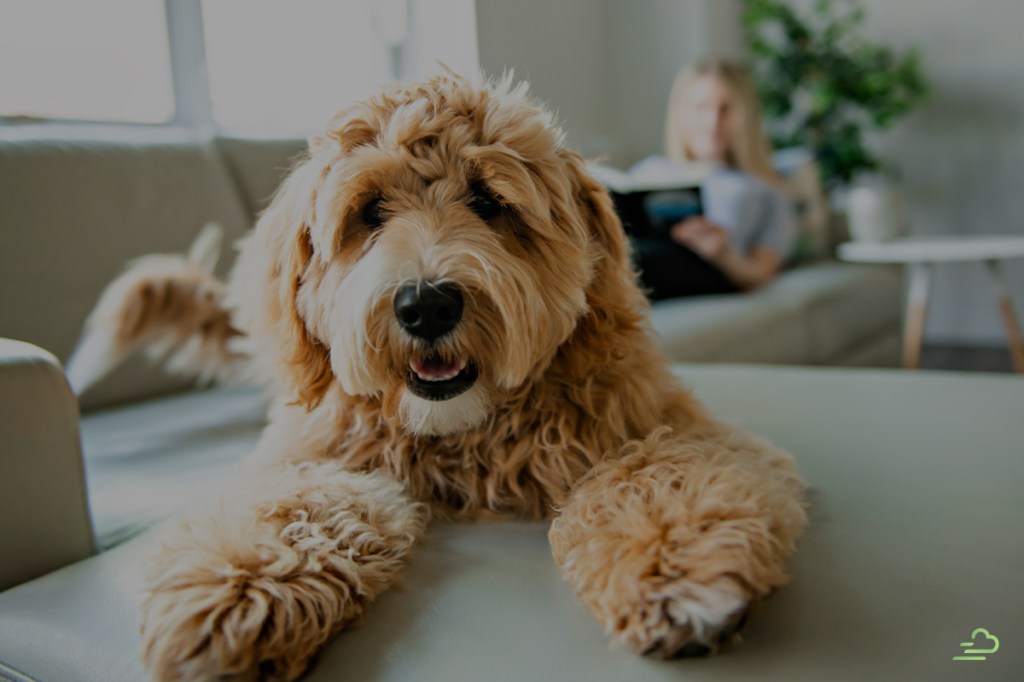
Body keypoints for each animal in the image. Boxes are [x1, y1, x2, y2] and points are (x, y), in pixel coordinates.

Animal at [70, 71, 806, 675]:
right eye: (369, 211)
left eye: (488, 202)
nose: (426, 305)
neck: (463, 435)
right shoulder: (314, 454)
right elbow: (295, 504)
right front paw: (237, 590)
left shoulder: (667, 425)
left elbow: (655, 474)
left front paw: (675, 567)